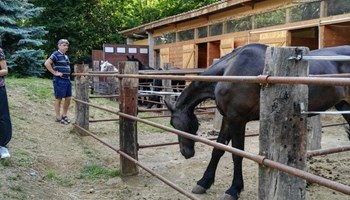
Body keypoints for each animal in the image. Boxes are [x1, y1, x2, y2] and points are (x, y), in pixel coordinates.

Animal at [165, 43, 350, 199]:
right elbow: (218, 149)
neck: (230, 71)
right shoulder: (228, 119)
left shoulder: (237, 120)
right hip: (344, 106)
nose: (186, 153)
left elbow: (237, 154)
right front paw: (204, 182)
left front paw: (233, 190)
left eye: (177, 124)